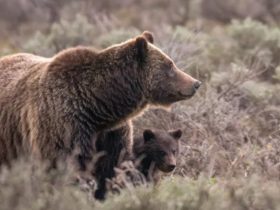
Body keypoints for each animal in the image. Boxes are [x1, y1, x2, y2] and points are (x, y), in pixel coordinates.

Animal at [0, 30, 200, 197]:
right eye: (170, 65)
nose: (196, 83)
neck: (98, 107)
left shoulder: (112, 134)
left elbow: (110, 169)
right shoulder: (63, 126)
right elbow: (66, 167)